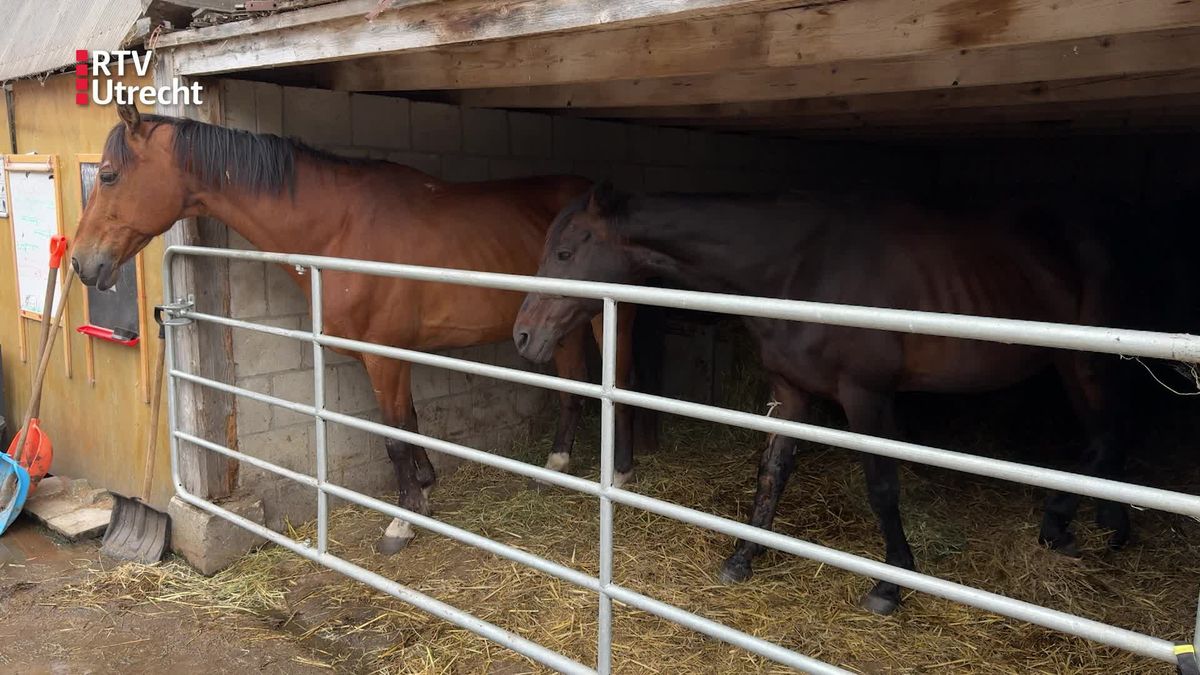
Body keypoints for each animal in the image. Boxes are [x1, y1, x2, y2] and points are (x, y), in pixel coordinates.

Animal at [71, 104, 656, 555]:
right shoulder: (392, 356)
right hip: (562, 327)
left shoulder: (384, 355)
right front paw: (424, 490)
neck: (340, 226)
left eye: (109, 175)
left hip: (609, 318)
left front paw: (402, 522)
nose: (82, 263)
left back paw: (620, 476)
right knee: (574, 389)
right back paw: (556, 466)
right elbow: (410, 424)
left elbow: (394, 437)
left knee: (622, 386)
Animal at [513, 182, 1126, 615]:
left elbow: (881, 485)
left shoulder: (866, 396)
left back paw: (1060, 526)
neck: (800, 267)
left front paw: (890, 583)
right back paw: (1108, 526)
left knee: (1106, 435)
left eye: (564, 253)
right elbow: (772, 471)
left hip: (1083, 362)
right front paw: (743, 557)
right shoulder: (790, 390)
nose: (523, 336)